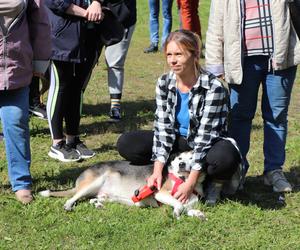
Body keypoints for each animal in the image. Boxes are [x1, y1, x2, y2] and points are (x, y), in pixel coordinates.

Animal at [38, 151, 205, 220]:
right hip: (94, 181)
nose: (182, 164)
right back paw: (68, 206)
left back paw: (98, 204)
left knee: (92, 199)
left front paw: (197, 214)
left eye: (193, 158)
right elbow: (179, 205)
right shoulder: (160, 193)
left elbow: (186, 208)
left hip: (110, 196)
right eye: (180, 158)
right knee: (73, 197)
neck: (183, 180)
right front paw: (177, 213)